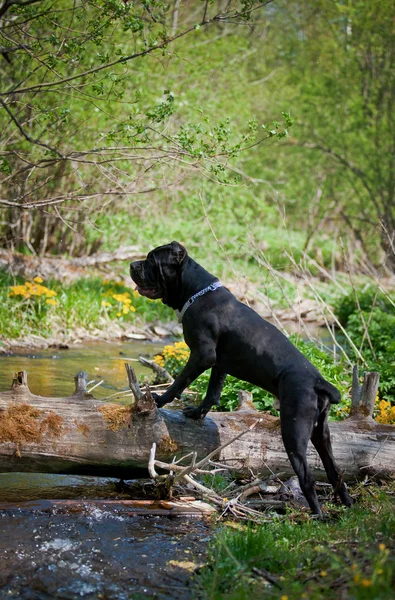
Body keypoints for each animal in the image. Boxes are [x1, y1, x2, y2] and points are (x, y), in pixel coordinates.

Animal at [131, 241, 354, 512]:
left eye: (152, 261)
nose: (132, 265)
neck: (196, 292)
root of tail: (318, 382)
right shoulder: (219, 363)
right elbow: (212, 392)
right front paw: (197, 413)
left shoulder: (202, 355)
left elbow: (180, 381)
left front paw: (161, 400)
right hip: (321, 434)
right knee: (335, 472)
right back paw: (347, 506)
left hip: (294, 431)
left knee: (307, 478)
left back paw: (317, 515)